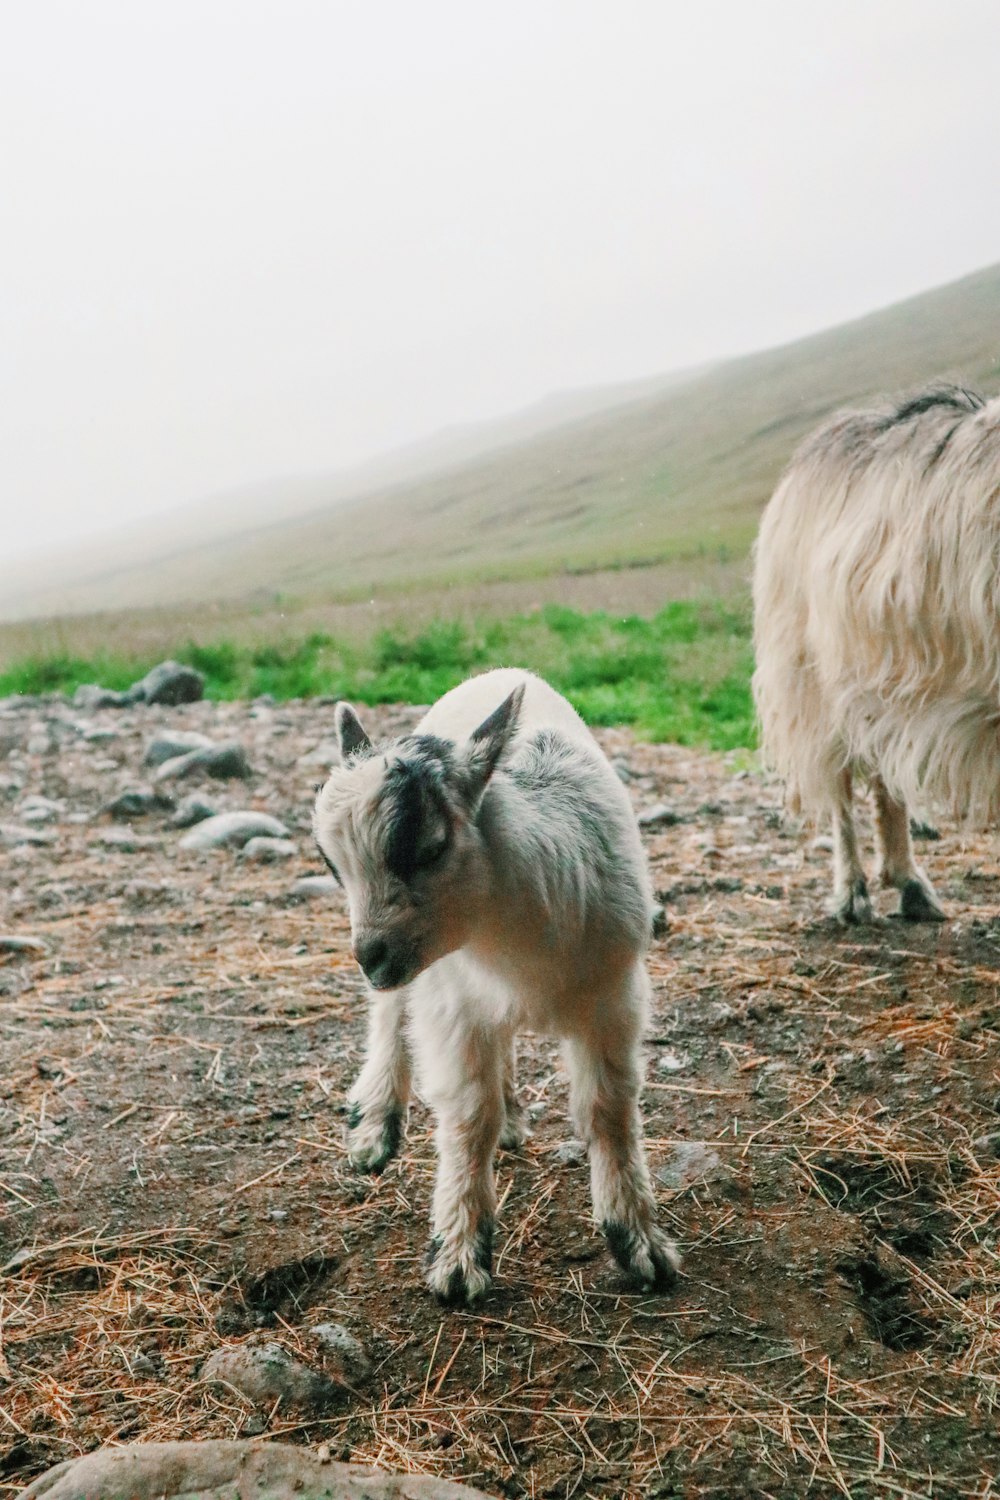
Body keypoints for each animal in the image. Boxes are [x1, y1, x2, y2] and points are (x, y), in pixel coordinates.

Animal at [313, 666, 680, 1302]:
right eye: (334, 868)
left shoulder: (614, 995)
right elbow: (466, 1117)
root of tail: (503, 674)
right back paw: (375, 1124)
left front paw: (638, 1241)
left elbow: (608, 1108)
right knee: (392, 1015)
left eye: (430, 848)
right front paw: (459, 1257)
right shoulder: (451, 1004)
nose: (370, 960)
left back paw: (509, 1114)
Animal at [755, 381, 995, 918]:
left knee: (886, 770)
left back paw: (908, 883)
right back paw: (853, 894)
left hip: (888, 679)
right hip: (816, 679)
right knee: (840, 785)